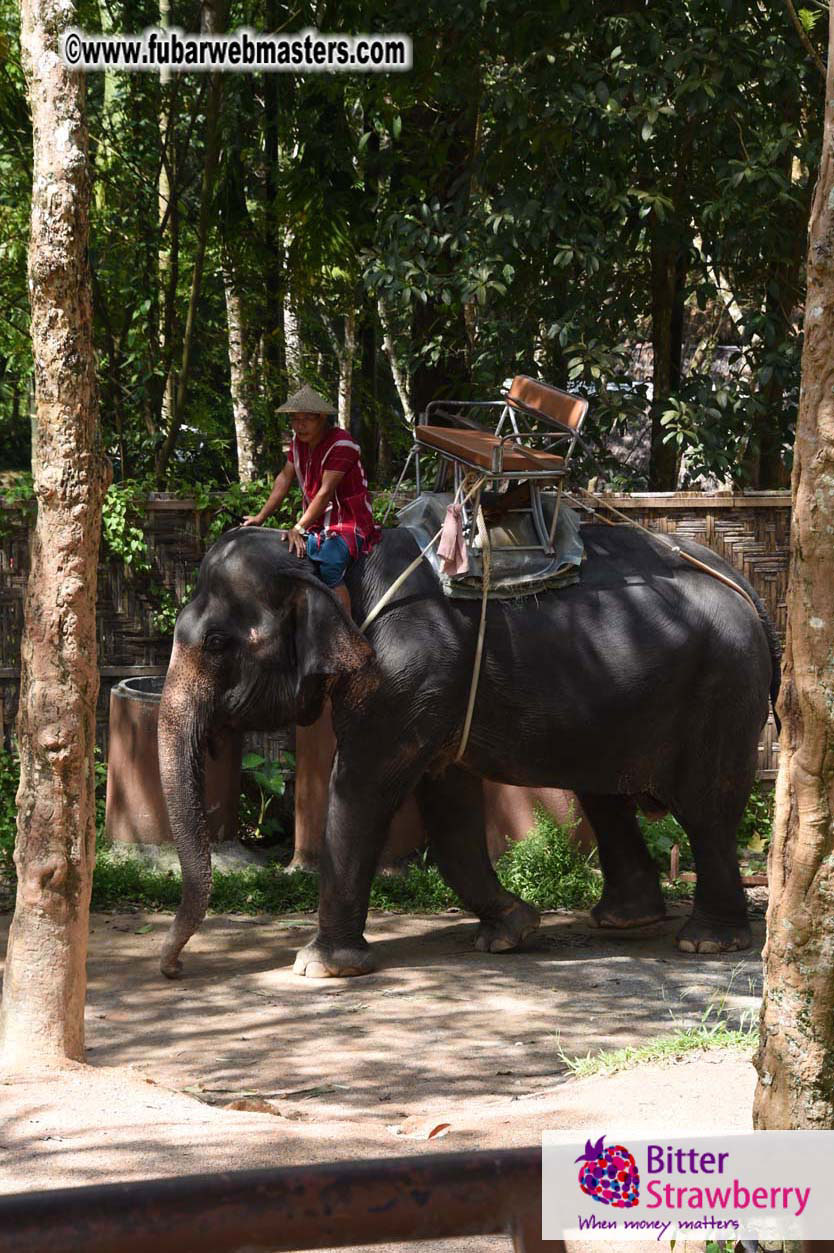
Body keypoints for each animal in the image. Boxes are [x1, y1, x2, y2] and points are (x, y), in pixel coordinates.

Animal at [157, 519, 780, 980]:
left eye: (217, 643)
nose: (174, 968)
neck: (325, 562)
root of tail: (741, 584)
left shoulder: (406, 674)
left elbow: (360, 790)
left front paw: (320, 966)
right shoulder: (435, 692)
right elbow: (446, 802)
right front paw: (512, 929)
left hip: (722, 691)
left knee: (706, 809)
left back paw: (707, 942)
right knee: (605, 796)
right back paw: (624, 921)